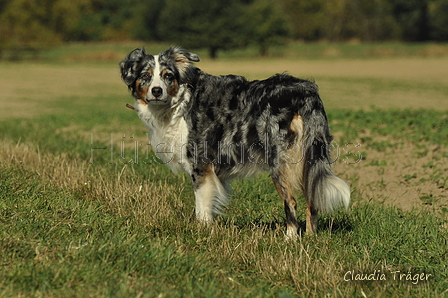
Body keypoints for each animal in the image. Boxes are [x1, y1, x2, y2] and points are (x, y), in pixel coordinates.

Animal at [120, 47, 350, 237]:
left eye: (167, 76)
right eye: (145, 76)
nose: (157, 91)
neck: (179, 103)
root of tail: (304, 92)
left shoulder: (201, 167)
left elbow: (202, 208)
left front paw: (202, 232)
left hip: (280, 162)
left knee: (291, 202)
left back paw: (289, 239)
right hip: (308, 159)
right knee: (313, 200)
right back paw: (310, 239)